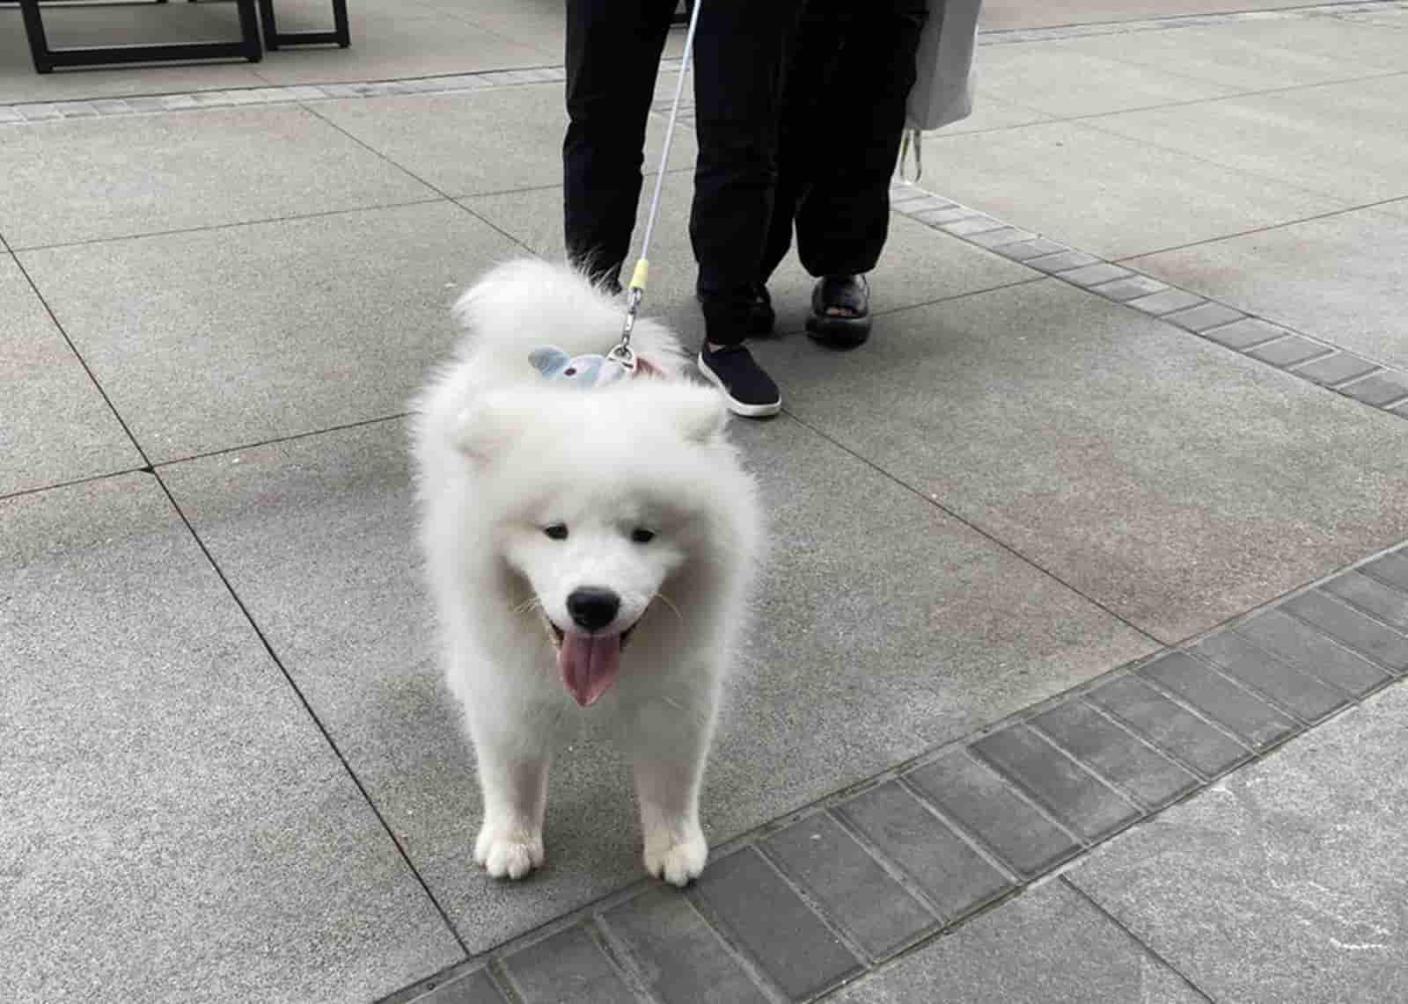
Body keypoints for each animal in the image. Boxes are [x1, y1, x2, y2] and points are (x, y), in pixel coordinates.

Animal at [411, 259, 760, 884]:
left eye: (644, 534)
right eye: (555, 530)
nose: (592, 603)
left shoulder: (681, 695)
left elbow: (673, 782)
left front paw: (674, 848)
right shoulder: (506, 694)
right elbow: (511, 774)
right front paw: (511, 842)